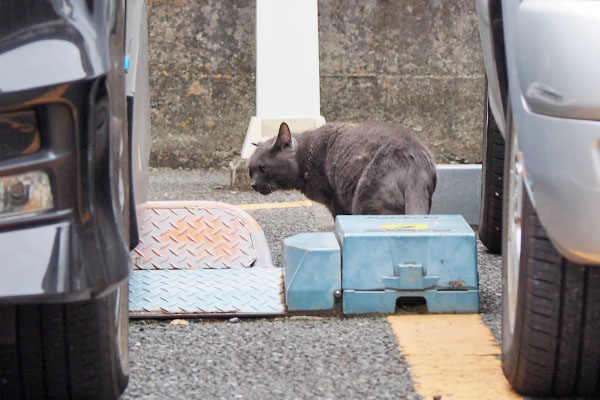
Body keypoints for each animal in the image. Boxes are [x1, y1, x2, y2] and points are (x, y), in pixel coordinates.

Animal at [246, 122, 438, 217]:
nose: (253, 184)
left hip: (366, 199)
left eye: (263, 168)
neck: (305, 157)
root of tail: (414, 161)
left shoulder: (336, 202)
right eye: (250, 170)